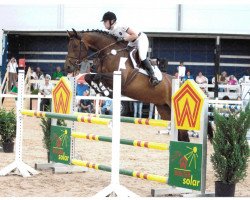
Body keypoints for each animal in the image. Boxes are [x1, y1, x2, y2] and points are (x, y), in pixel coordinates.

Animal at [64, 29, 207, 142]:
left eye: (75, 46)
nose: (68, 67)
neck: (110, 53)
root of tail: (181, 82)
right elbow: (89, 77)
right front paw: (101, 90)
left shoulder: (120, 79)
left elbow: (97, 77)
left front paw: (106, 92)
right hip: (164, 109)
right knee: (182, 134)